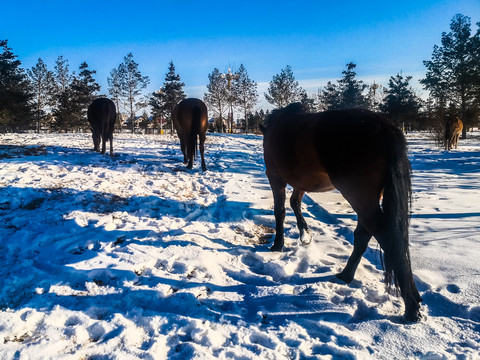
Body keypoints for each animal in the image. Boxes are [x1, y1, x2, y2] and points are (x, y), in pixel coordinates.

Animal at [260, 103, 422, 320]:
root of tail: (386, 127)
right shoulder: (302, 181)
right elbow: (295, 203)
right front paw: (305, 234)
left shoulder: (275, 177)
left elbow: (280, 210)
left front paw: (278, 244)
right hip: (369, 199)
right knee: (365, 235)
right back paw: (347, 276)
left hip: (359, 197)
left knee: (385, 237)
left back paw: (411, 308)